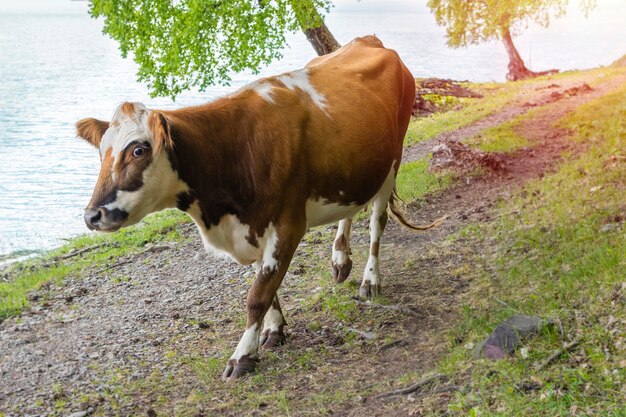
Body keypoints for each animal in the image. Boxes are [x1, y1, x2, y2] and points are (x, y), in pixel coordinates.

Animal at [75, 36, 438, 380]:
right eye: (102, 153)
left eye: (138, 150)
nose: (92, 215)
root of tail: (369, 41)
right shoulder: (251, 227)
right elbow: (268, 285)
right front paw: (274, 330)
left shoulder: (287, 226)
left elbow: (258, 294)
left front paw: (242, 356)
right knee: (349, 210)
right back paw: (340, 259)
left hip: (392, 161)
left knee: (377, 222)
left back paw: (370, 280)